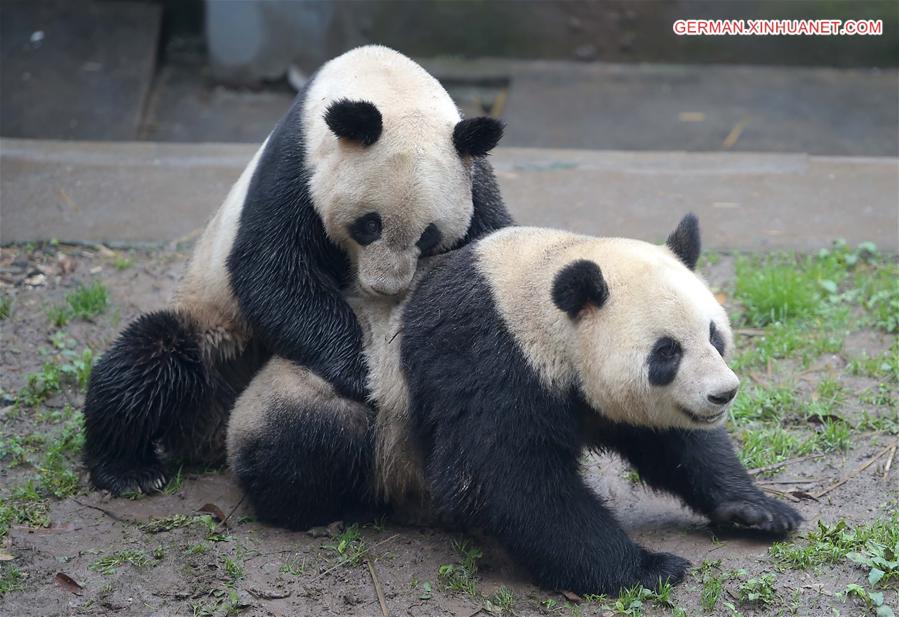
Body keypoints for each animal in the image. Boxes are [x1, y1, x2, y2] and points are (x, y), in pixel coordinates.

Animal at [84, 45, 512, 494]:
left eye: (428, 236)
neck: (387, 82)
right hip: (216, 327)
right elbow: (272, 270)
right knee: (149, 362)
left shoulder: (472, 175)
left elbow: (490, 240)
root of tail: (211, 431)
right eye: (369, 225)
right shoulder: (297, 164)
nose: (383, 287)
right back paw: (128, 469)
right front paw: (358, 374)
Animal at [229, 214, 804, 596]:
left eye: (715, 335)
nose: (723, 393)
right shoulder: (489, 353)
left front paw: (759, 511)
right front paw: (648, 567)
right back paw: (329, 505)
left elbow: (675, 442)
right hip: (329, 394)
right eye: (666, 352)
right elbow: (503, 475)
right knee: (315, 435)